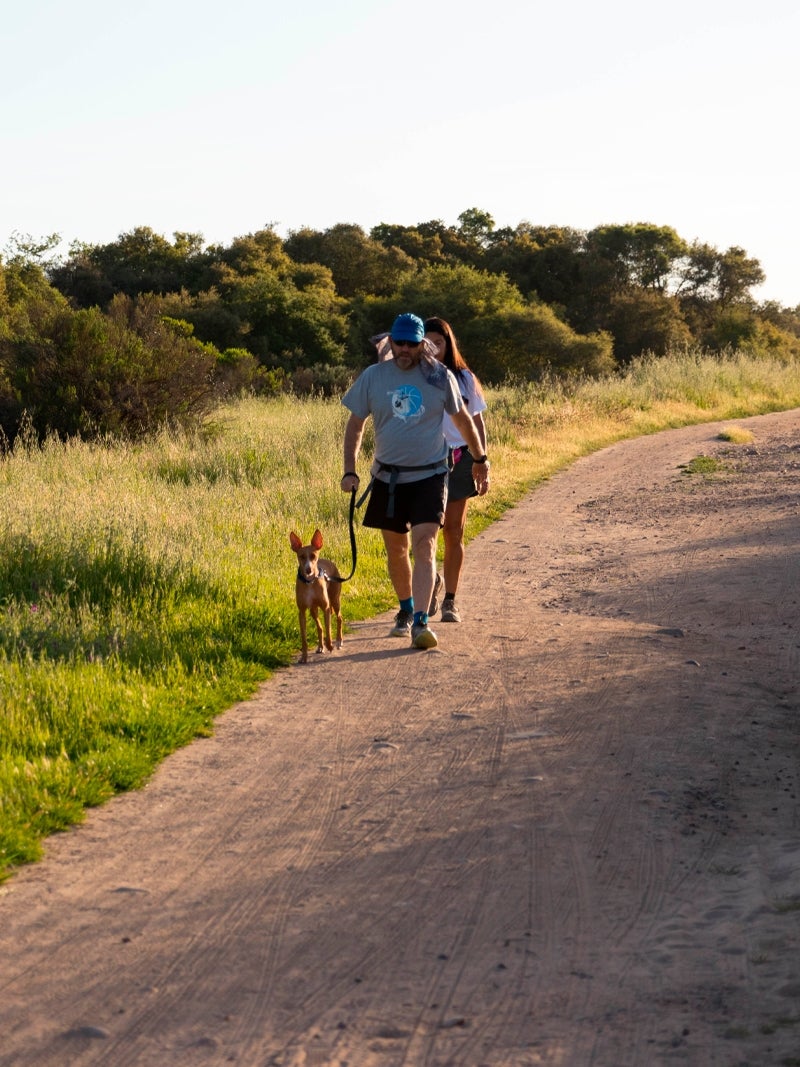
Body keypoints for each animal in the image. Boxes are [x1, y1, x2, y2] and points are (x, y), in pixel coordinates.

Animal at [292, 529, 345, 661]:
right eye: (301, 557)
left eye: (313, 556)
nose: (308, 570)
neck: (309, 582)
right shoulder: (302, 612)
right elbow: (304, 638)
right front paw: (304, 657)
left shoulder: (326, 608)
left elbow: (328, 629)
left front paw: (330, 645)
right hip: (313, 610)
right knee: (319, 627)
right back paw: (321, 646)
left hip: (335, 600)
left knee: (339, 618)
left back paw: (339, 641)